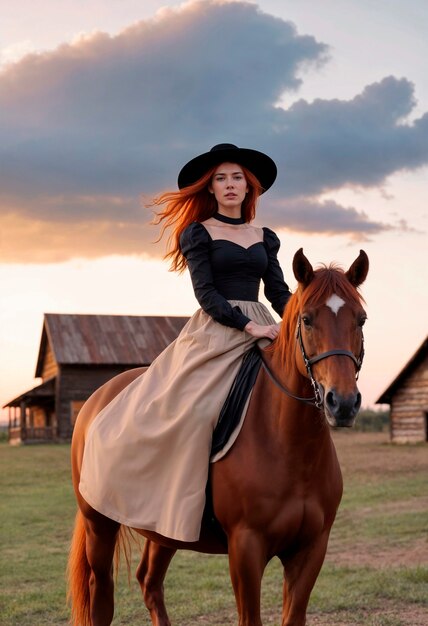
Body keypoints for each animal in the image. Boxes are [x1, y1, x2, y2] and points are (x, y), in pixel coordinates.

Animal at [67, 246, 368, 620]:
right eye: (308, 319)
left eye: (361, 320)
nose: (343, 403)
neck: (289, 447)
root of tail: (97, 400)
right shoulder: (245, 549)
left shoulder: (311, 549)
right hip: (99, 525)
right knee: (102, 594)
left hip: (165, 527)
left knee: (149, 581)